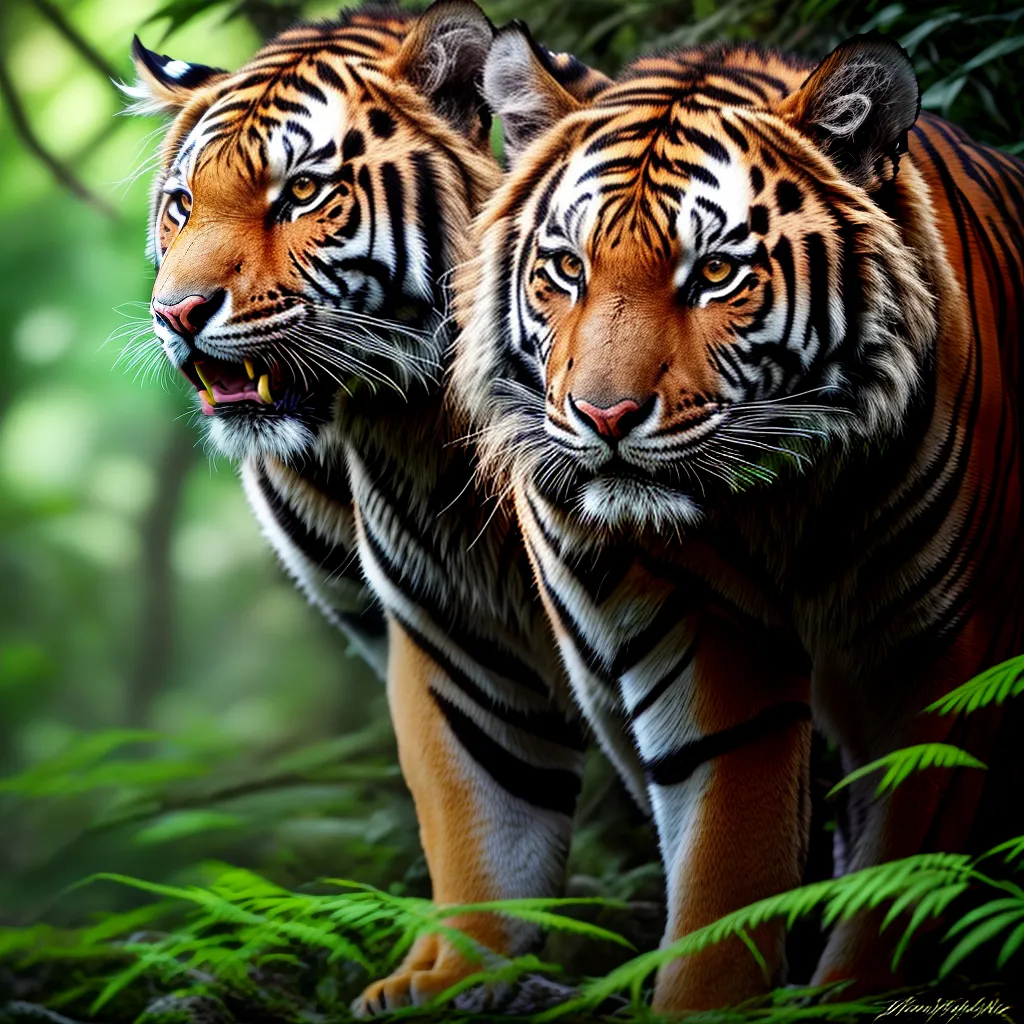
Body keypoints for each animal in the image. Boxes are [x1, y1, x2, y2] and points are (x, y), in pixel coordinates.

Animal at [125, 1, 626, 1013]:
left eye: (300, 194)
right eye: (181, 204)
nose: (176, 313)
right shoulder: (451, 622)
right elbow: (478, 803)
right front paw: (456, 972)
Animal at [453, 23, 1024, 1011]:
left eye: (714, 273)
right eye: (568, 268)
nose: (605, 416)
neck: (786, 504)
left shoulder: (945, 654)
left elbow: (901, 876)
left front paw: (854, 991)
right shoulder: (703, 635)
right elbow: (730, 867)